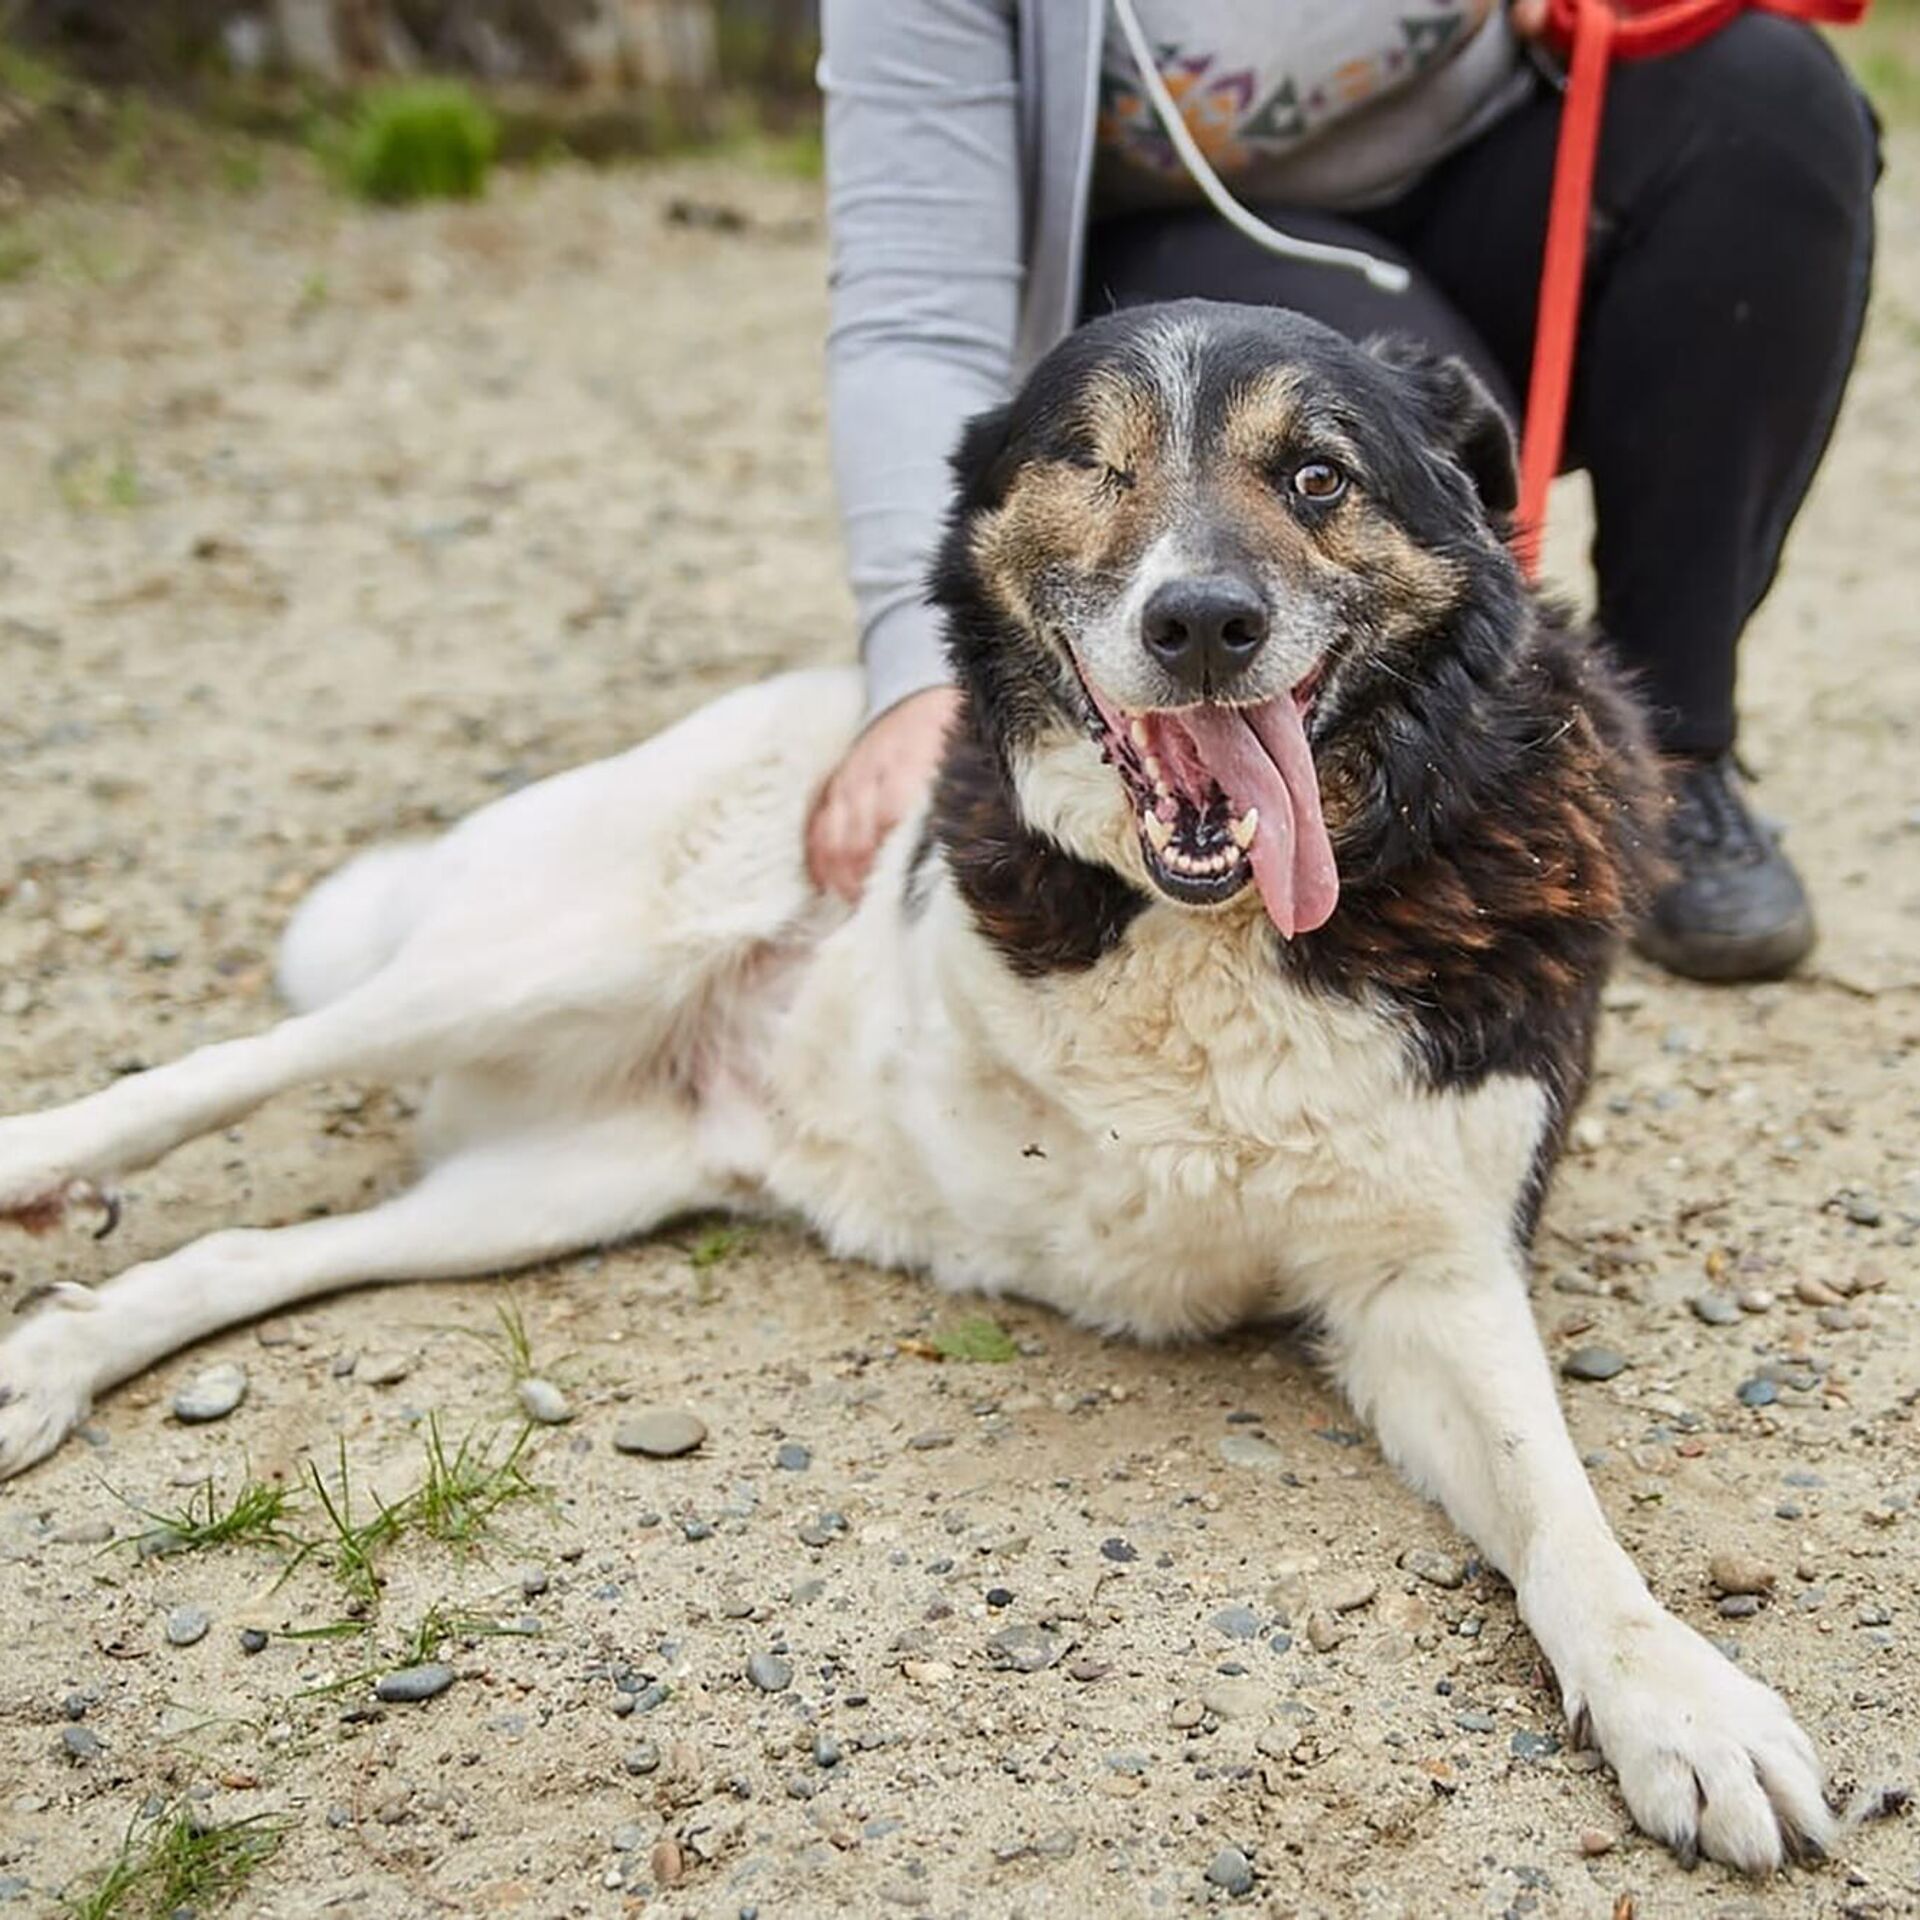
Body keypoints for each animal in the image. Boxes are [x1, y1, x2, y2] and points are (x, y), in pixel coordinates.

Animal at [0, 303, 1827, 1873]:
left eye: (1318, 474)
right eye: (1091, 462)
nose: (1201, 624)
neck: (1222, 921)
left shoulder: (1428, 1277)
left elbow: (1565, 1518)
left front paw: (1682, 1706)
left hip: (567, 1183)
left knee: (259, 1254)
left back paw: (50, 1364)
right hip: (546, 956)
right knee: (238, 1063)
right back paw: (43, 1175)